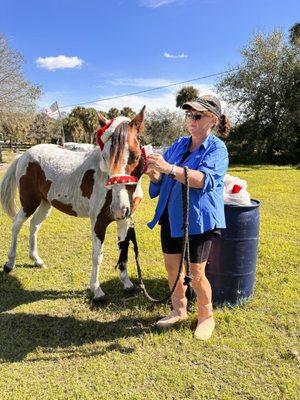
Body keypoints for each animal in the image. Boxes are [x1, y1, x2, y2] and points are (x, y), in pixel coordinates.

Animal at [0, 106, 145, 300]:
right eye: (105, 157)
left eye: (135, 156)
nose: (118, 208)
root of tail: (24, 154)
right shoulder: (98, 223)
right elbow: (97, 256)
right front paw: (97, 291)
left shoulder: (124, 221)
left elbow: (124, 251)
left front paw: (127, 283)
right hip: (29, 202)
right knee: (16, 225)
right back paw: (9, 263)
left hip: (45, 203)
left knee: (34, 225)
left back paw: (37, 260)